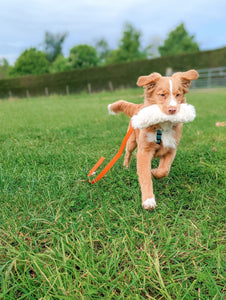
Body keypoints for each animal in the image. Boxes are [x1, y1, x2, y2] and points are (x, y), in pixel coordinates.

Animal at [108, 70, 199, 210]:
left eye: (178, 94)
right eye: (162, 94)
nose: (173, 110)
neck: (163, 127)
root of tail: (139, 106)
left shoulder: (171, 148)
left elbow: (164, 170)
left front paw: (154, 172)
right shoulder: (144, 151)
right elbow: (145, 176)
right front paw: (148, 200)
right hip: (131, 141)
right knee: (128, 153)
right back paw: (126, 167)